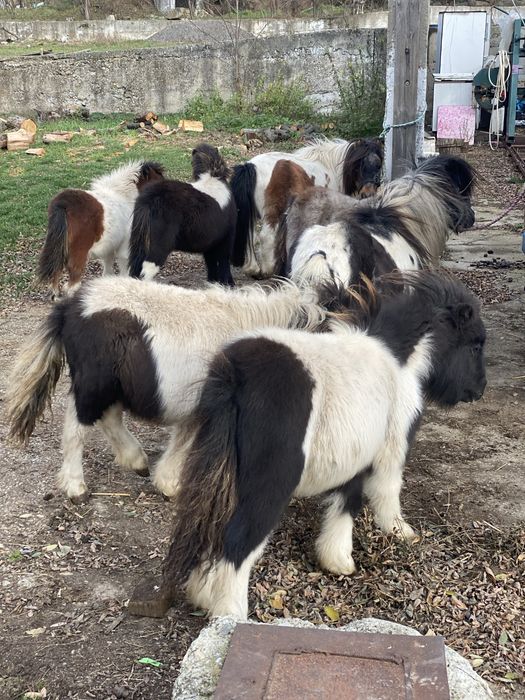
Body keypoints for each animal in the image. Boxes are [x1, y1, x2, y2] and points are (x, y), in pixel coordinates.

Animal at [6, 277, 329, 504]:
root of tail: (71, 308)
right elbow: (186, 444)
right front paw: (171, 486)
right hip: (93, 385)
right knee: (78, 426)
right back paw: (76, 487)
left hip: (112, 386)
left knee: (109, 417)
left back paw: (136, 461)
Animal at [37, 160, 165, 299]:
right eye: (159, 181)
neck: (124, 196)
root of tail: (63, 205)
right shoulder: (124, 246)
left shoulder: (109, 246)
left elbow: (107, 268)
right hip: (78, 255)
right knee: (71, 286)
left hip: (59, 251)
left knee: (55, 276)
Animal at [128, 144, 237, 286]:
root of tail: (151, 200)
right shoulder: (226, 238)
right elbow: (223, 262)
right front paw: (227, 284)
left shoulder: (211, 243)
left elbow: (212, 264)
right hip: (156, 249)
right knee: (146, 272)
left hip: (139, 246)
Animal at [148, 271, 486, 620]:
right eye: (476, 344)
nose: (479, 389)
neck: (396, 360)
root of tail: (235, 378)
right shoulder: (388, 450)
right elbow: (381, 492)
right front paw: (395, 532)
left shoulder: (355, 454)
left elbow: (345, 501)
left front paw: (336, 558)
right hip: (268, 488)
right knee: (239, 541)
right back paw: (230, 613)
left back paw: (202, 594)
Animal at [230, 138, 384, 276]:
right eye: (359, 165)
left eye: (378, 165)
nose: (368, 193)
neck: (332, 168)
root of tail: (251, 166)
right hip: (273, 213)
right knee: (266, 237)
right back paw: (269, 270)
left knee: (250, 236)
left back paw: (253, 269)